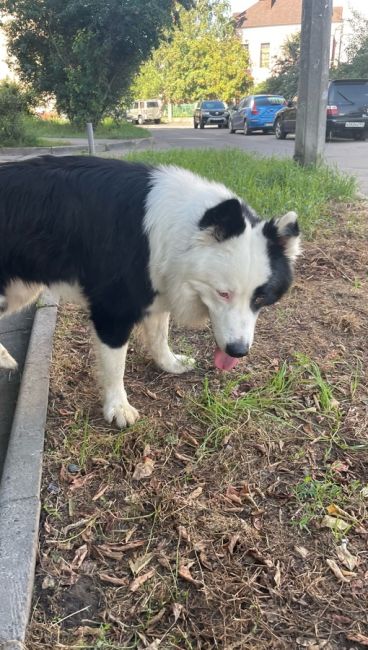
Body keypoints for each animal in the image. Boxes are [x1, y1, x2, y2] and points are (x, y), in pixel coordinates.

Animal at [0, 153, 300, 426]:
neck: (181, 230)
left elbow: (159, 336)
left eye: (260, 298)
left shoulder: (158, 293)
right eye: (222, 293)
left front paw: (170, 364)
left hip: (21, 291)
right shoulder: (112, 311)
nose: (237, 352)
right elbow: (115, 365)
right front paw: (117, 407)